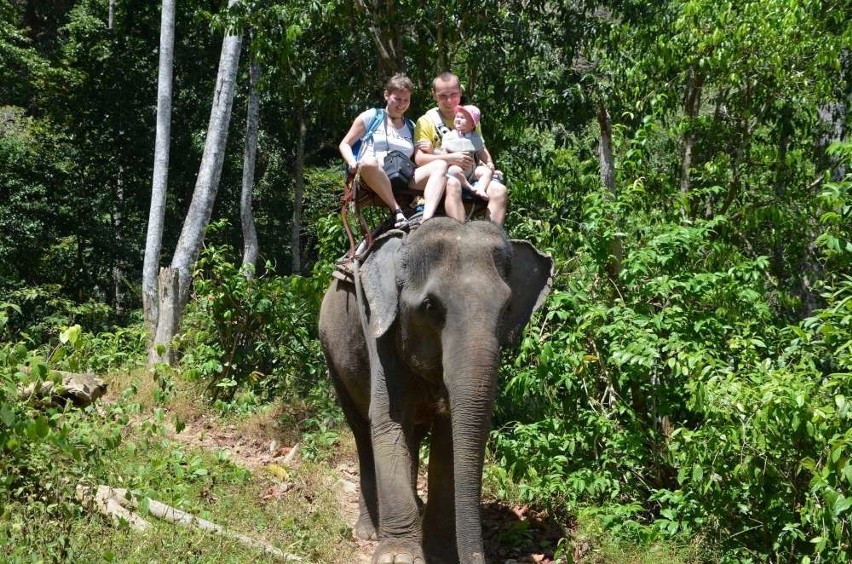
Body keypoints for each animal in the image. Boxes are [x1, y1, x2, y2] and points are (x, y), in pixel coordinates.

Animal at [320, 217, 552, 564]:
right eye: (430, 306)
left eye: (507, 307)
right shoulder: (379, 332)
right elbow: (388, 423)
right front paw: (399, 557)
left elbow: (449, 437)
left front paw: (440, 554)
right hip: (332, 352)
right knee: (362, 431)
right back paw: (369, 532)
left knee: (413, 437)